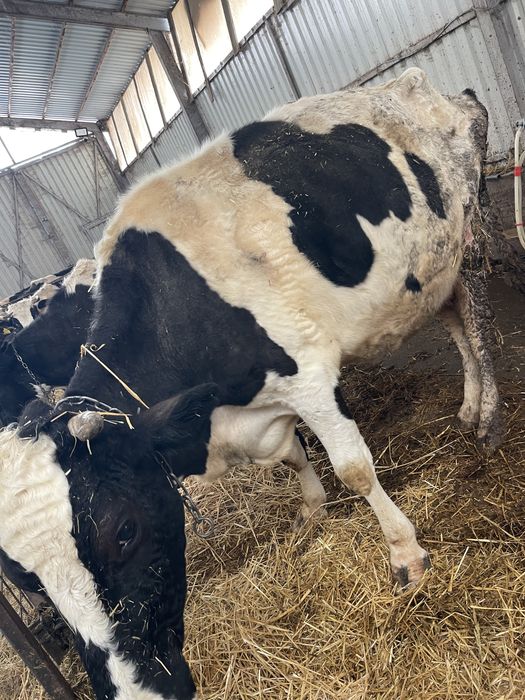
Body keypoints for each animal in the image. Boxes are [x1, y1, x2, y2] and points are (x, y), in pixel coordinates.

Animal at [0, 69, 501, 700]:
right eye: (28, 582)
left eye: (124, 530)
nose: (135, 694)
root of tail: (419, 84)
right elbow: (291, 456)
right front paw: (311, 511)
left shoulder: (308, 376)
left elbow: (355, 470)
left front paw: (406, 557)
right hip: (433, 269)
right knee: (456, 322)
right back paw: (468, 406)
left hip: (471, 232)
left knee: (478, 322)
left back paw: (488, 418)